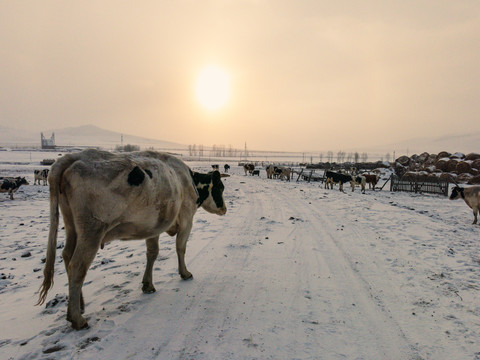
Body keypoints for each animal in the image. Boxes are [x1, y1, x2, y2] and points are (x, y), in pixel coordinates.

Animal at [36, 149, 228, 330]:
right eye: (220, 187)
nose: (224, 209)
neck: (188, 180)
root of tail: (74, 157)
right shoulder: (187, 218)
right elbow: (180, 247)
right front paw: (185, 273)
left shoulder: (155, 225)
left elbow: (152, 253)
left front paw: (148, 284)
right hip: (92, 231)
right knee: (77, 266)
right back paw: (77, 318)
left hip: (72, 227)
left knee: (67, 255)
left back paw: (80, 305)